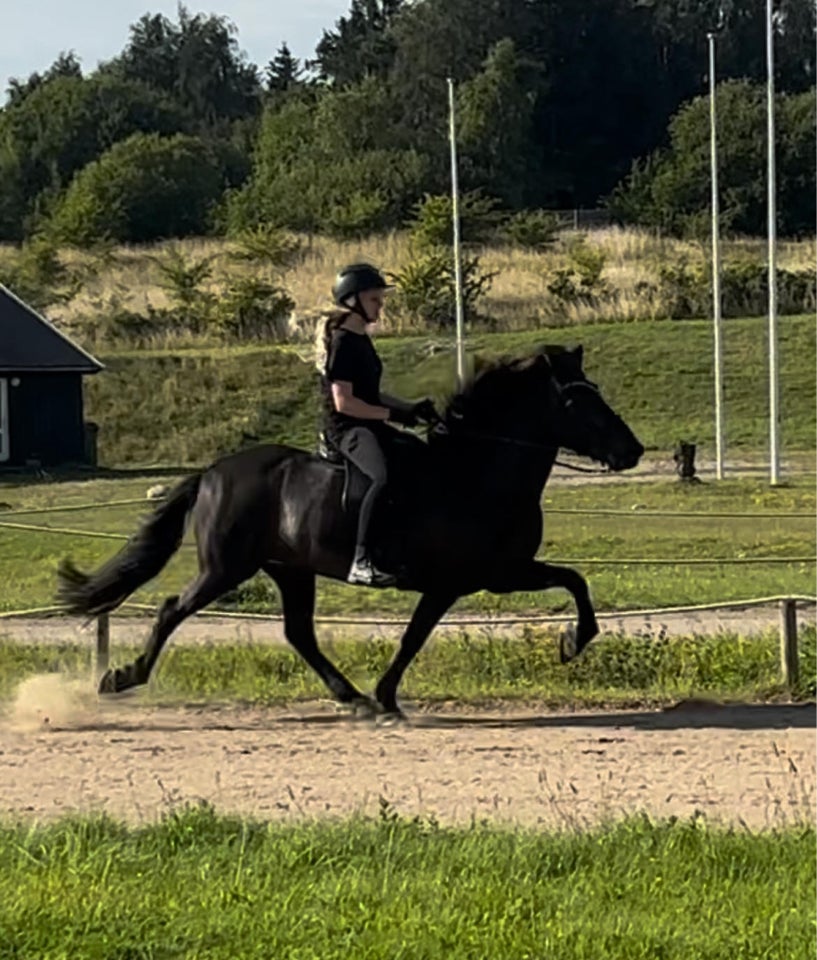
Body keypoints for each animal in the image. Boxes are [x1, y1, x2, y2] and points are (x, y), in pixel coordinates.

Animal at [57, 346, 644, 720]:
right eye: (577, 400)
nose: (632, 451)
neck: (476, 472)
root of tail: (212, 473)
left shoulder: (497, 574)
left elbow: (574, 581)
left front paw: (573, 641)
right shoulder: (470, 579)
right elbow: (415, 636)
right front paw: (389, 697)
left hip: (290, 570)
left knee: (299, 634)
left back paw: (353, 697)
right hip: (226, 567)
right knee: (172, 610)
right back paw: (120, 679)